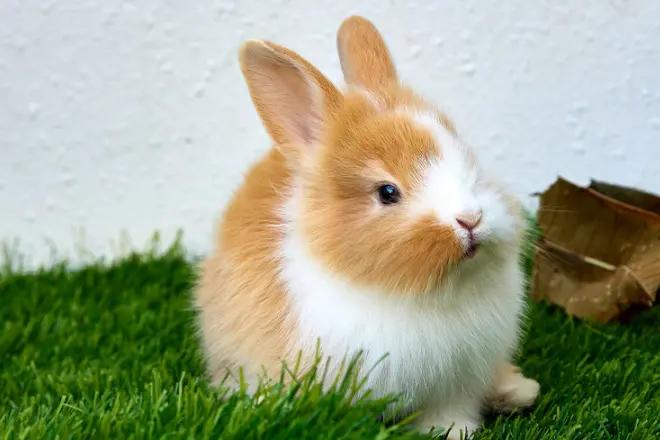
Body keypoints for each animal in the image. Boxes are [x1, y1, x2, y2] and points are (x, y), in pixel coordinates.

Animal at [194, 15, 540, 439]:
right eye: (387, 192)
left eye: (469, 161)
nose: (471, 219)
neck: (425, 293)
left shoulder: (455, 383)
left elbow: (448, 411)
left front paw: (455, 432)